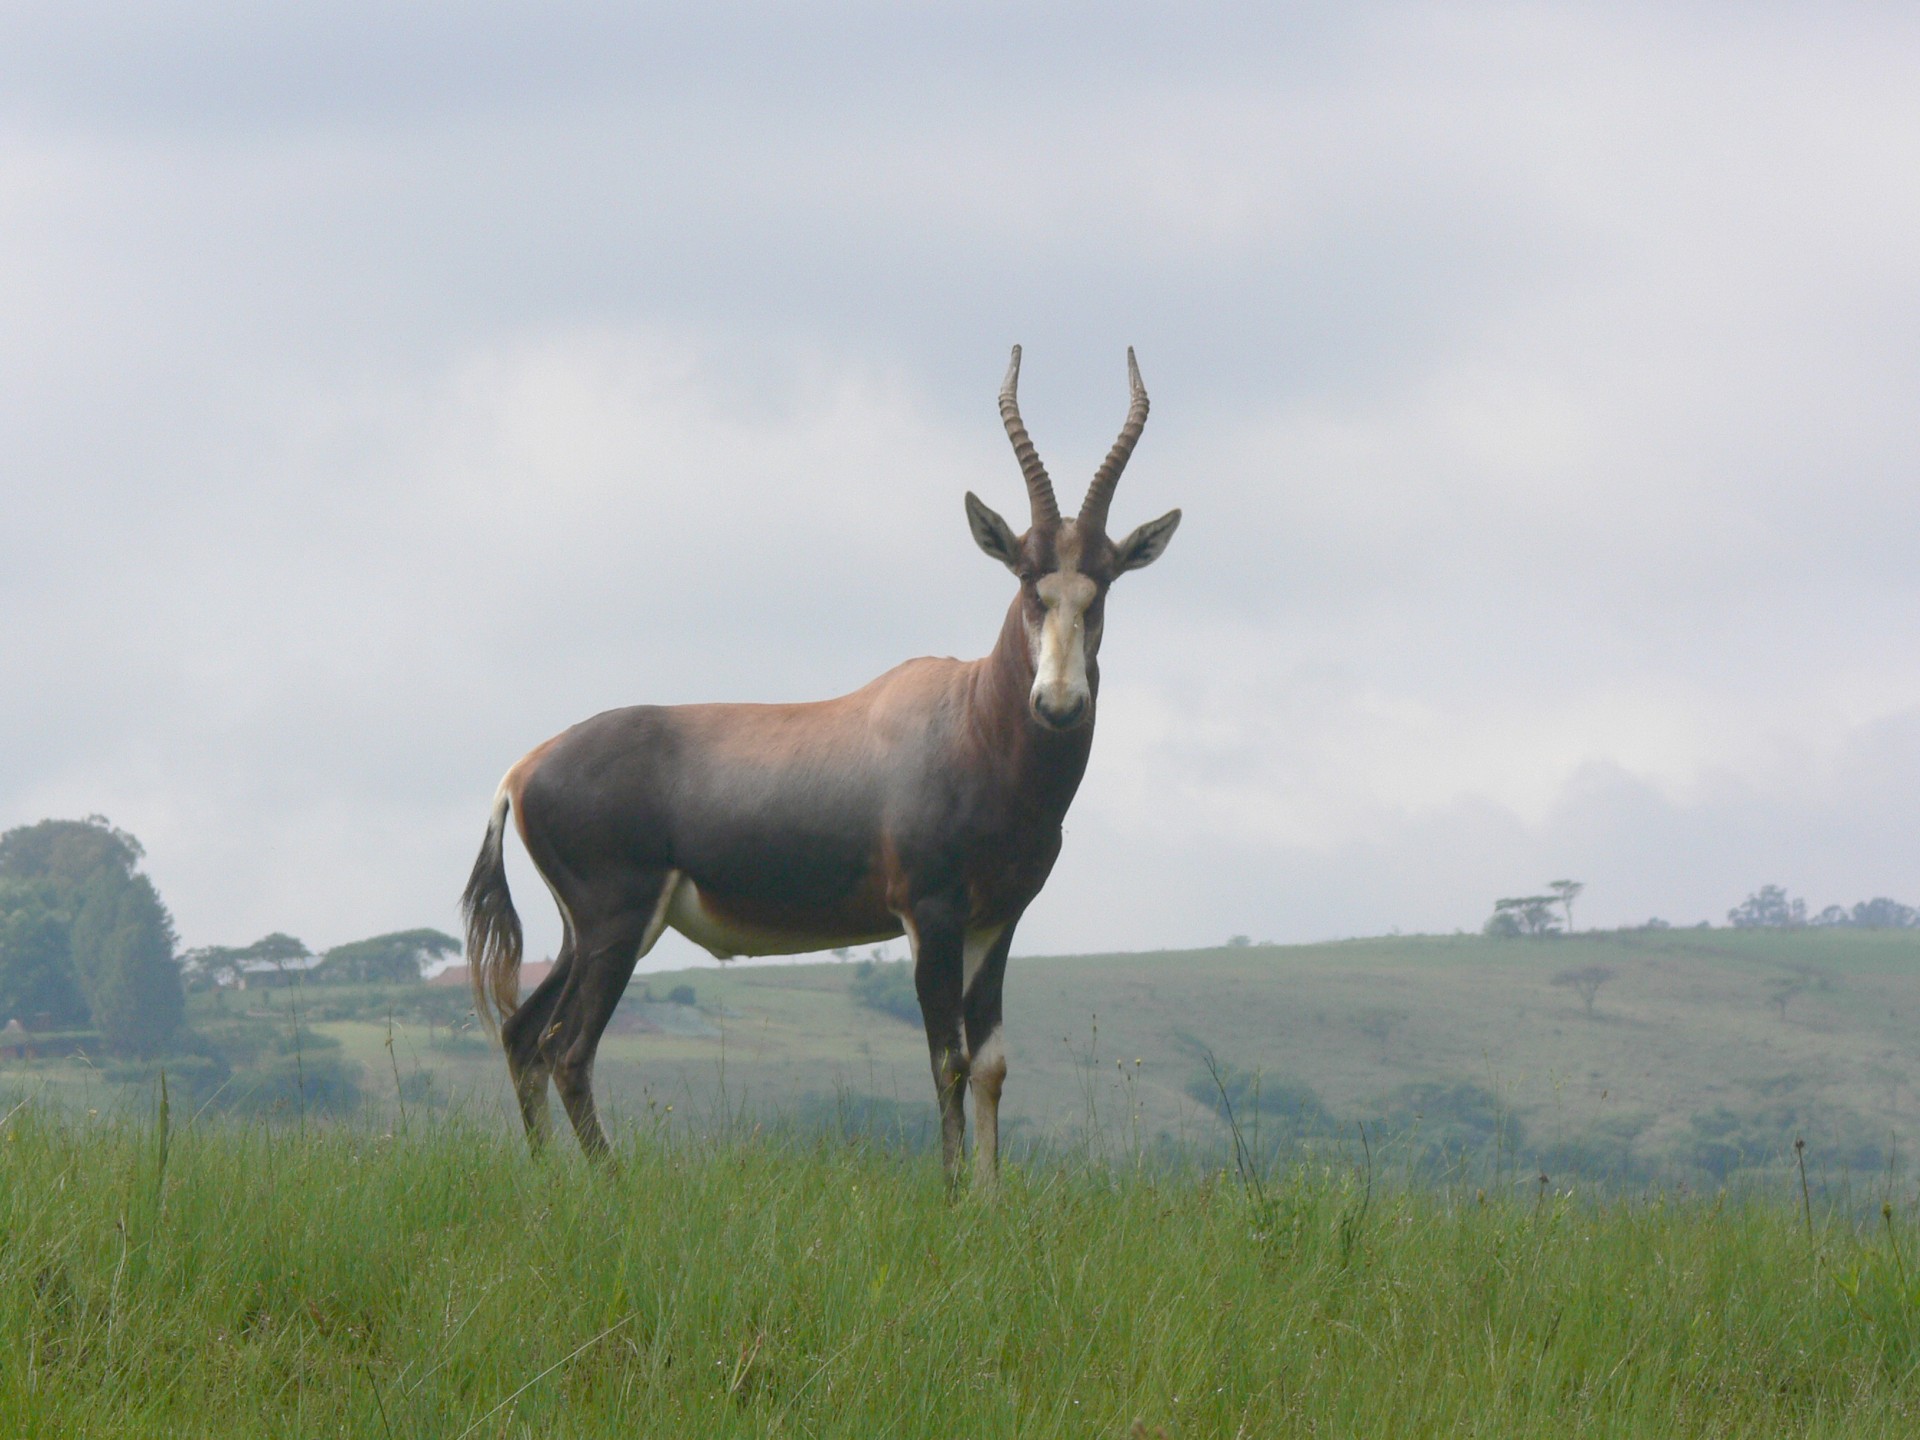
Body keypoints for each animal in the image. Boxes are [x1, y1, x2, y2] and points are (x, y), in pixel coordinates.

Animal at [464, 349, 1182, 1182]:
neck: (968, 718)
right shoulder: (930, 915)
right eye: (1028, 583)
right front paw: (951, 1194)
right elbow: (947, 1061)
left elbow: (992, 1064)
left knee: (523, 1035)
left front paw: (990, 1197)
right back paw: (610, 1184)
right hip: (615, 922)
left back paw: (551, 1178)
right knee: (566, 1048)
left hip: (588, 931)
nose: (1058, 703)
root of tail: (523, 770)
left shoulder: (997, 921)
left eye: (1102, 586)